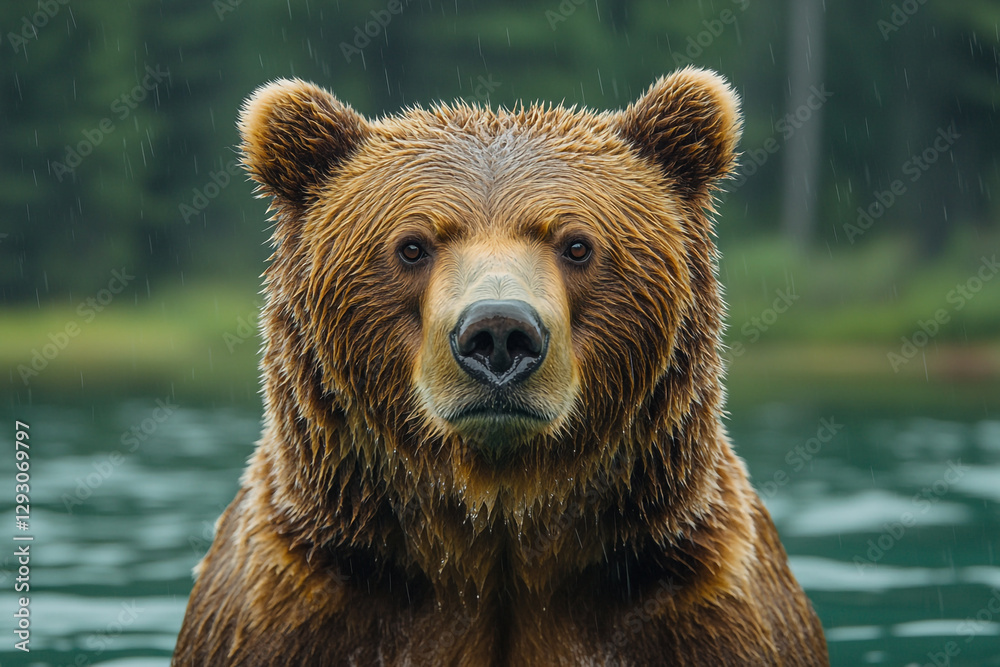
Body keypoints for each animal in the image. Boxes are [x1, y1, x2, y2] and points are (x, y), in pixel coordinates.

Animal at [172, 67, 828, 666]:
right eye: (411, 245)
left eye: (577, 245)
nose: (498, 335)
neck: (499, 528)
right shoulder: (305, 604)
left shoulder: (690, 606)